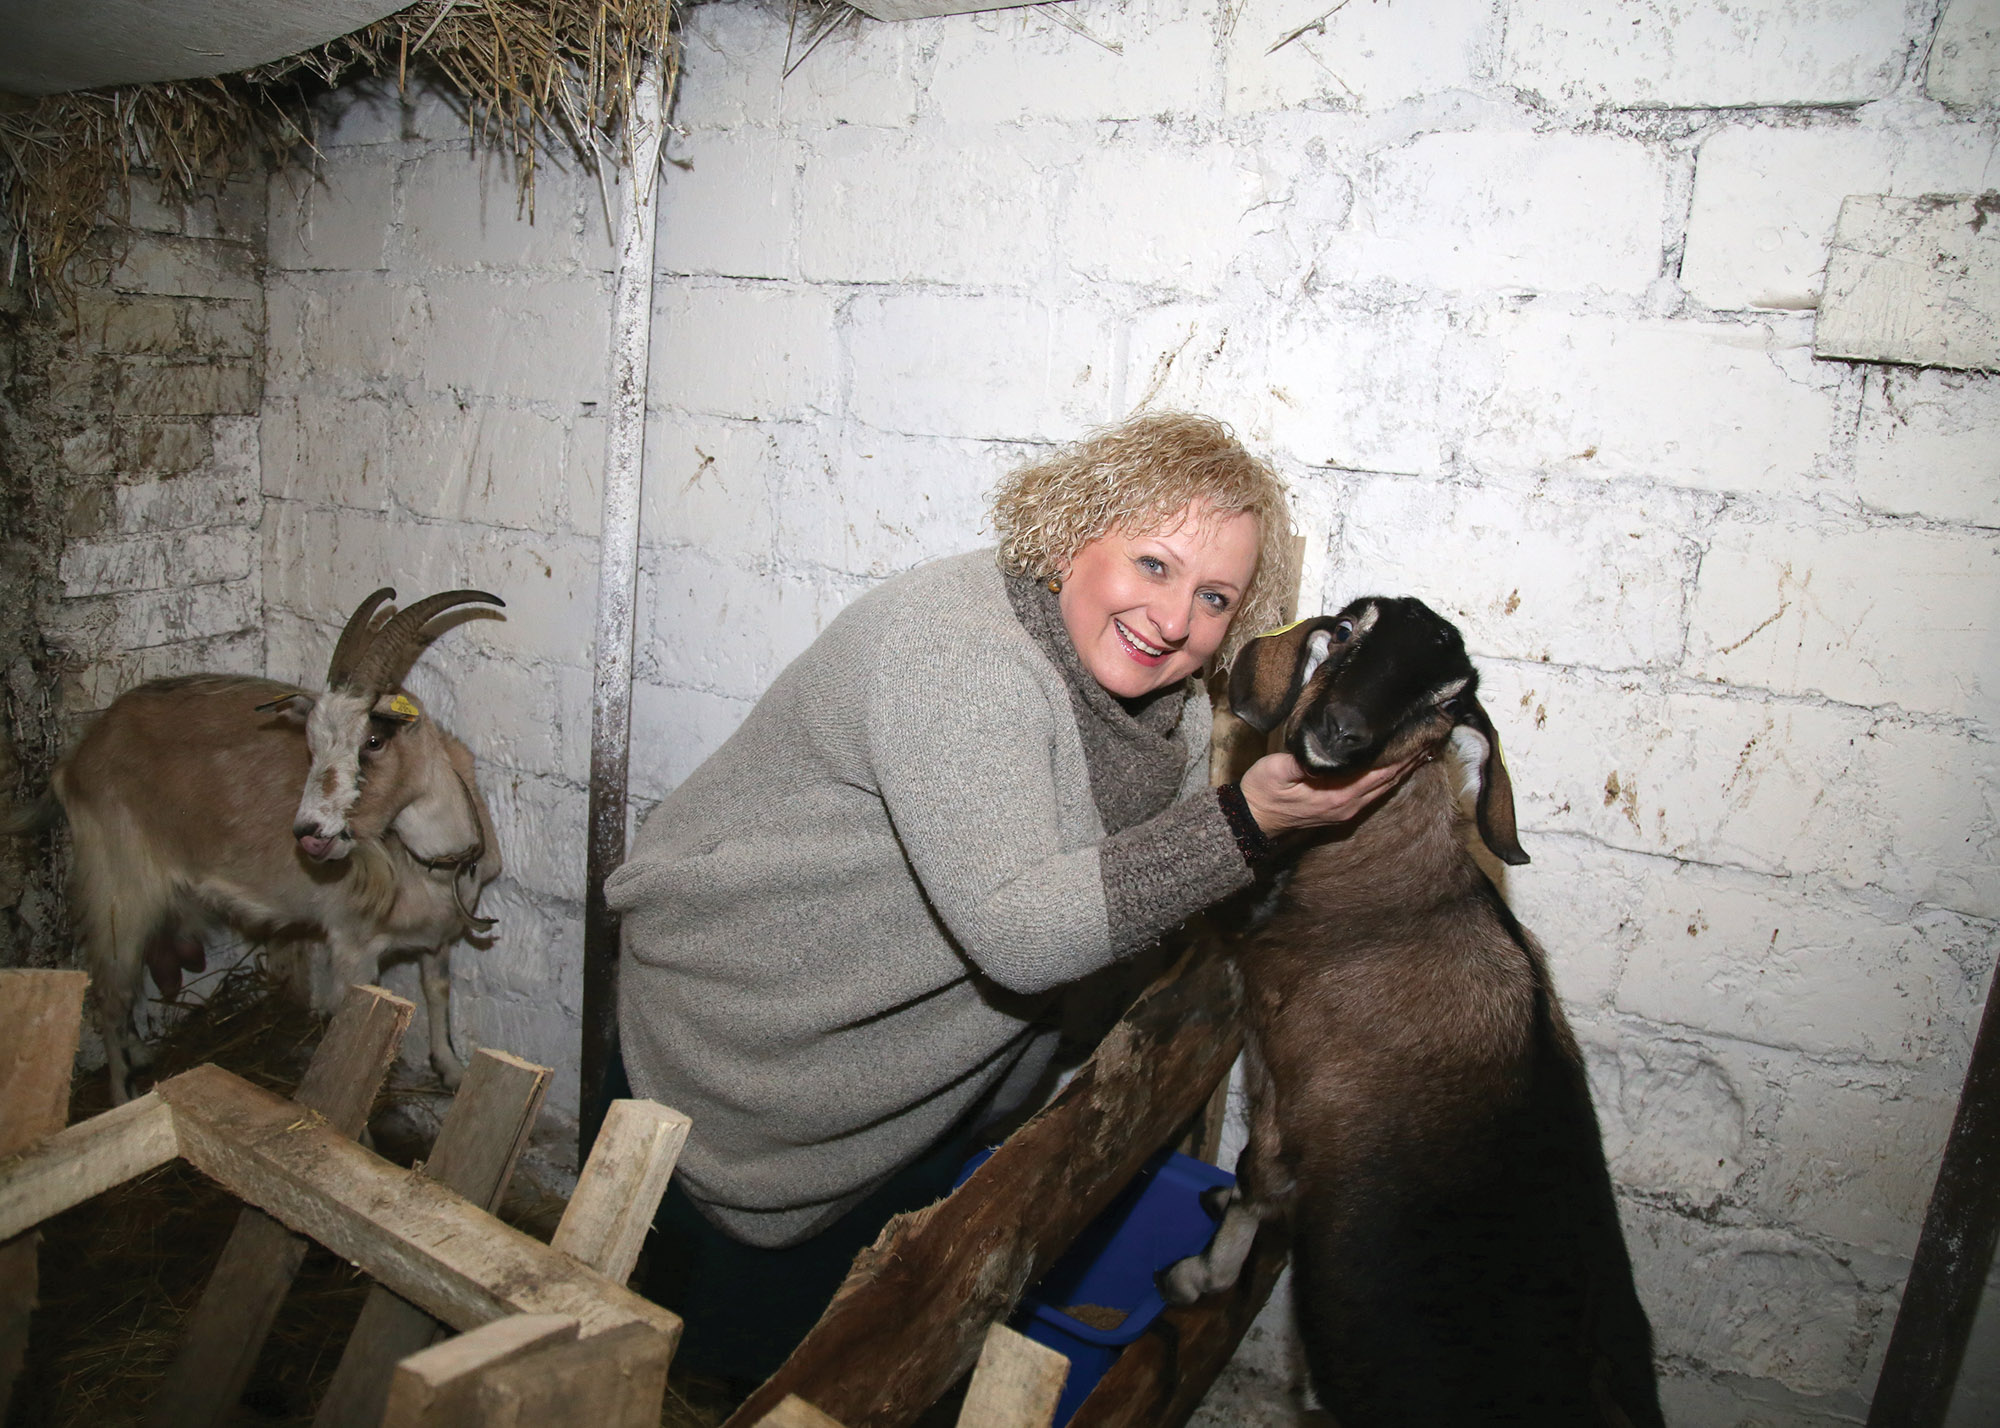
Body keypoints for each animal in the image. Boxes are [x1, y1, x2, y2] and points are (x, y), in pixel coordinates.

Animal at [31, 588, 504, 1104]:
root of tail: (79, 758)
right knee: (110, 992)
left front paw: (451, 1070)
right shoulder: (353, 948)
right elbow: (352, 1026)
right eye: (311, 746)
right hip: (118, 889)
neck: (428, 863)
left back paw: (138, 1056)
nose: (309, 833)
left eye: (375, 739)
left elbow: (437, 990)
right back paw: (121, 1098)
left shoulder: (440, 936)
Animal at [1168, 596, 1664, 1424]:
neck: (1394, 891)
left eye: (1445, 702)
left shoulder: (1281, 1085)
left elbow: (1255, 1180)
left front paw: (1197, 1275)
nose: (1341, 732)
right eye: (1350, 632)